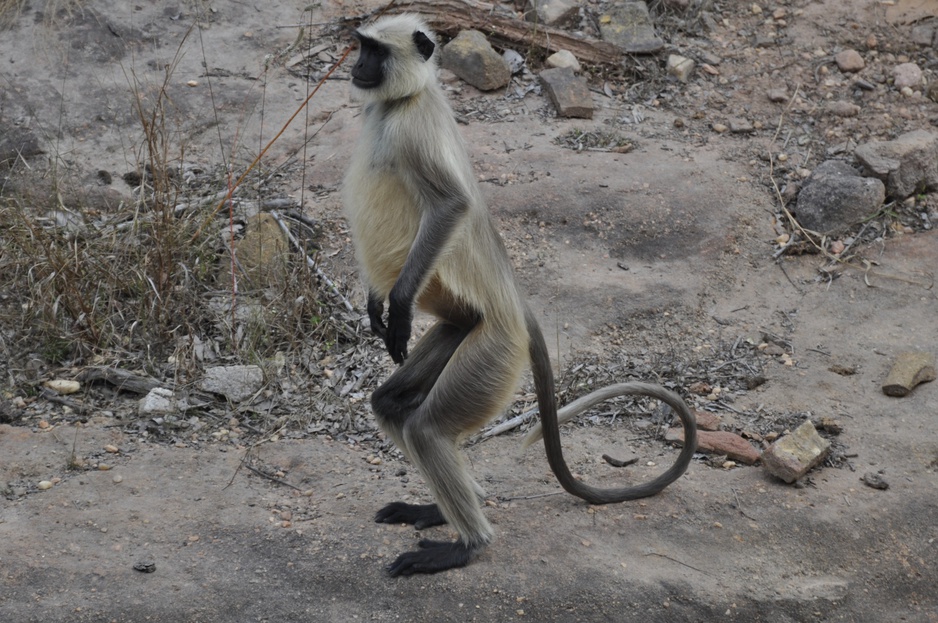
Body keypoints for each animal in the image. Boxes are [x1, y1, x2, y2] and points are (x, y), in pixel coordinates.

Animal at [342, 14, 696, 576]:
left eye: (375, 52)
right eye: (361, 47)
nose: (357, 67)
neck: (402, 101)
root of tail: (515, 303)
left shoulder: (412, 131)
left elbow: (452, 205)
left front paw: (396, 308)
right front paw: (376, 304)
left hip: (494, 348)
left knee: (426, 429)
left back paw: (467, 545)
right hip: (462, 329)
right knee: (392, 404)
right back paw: (445, 509)